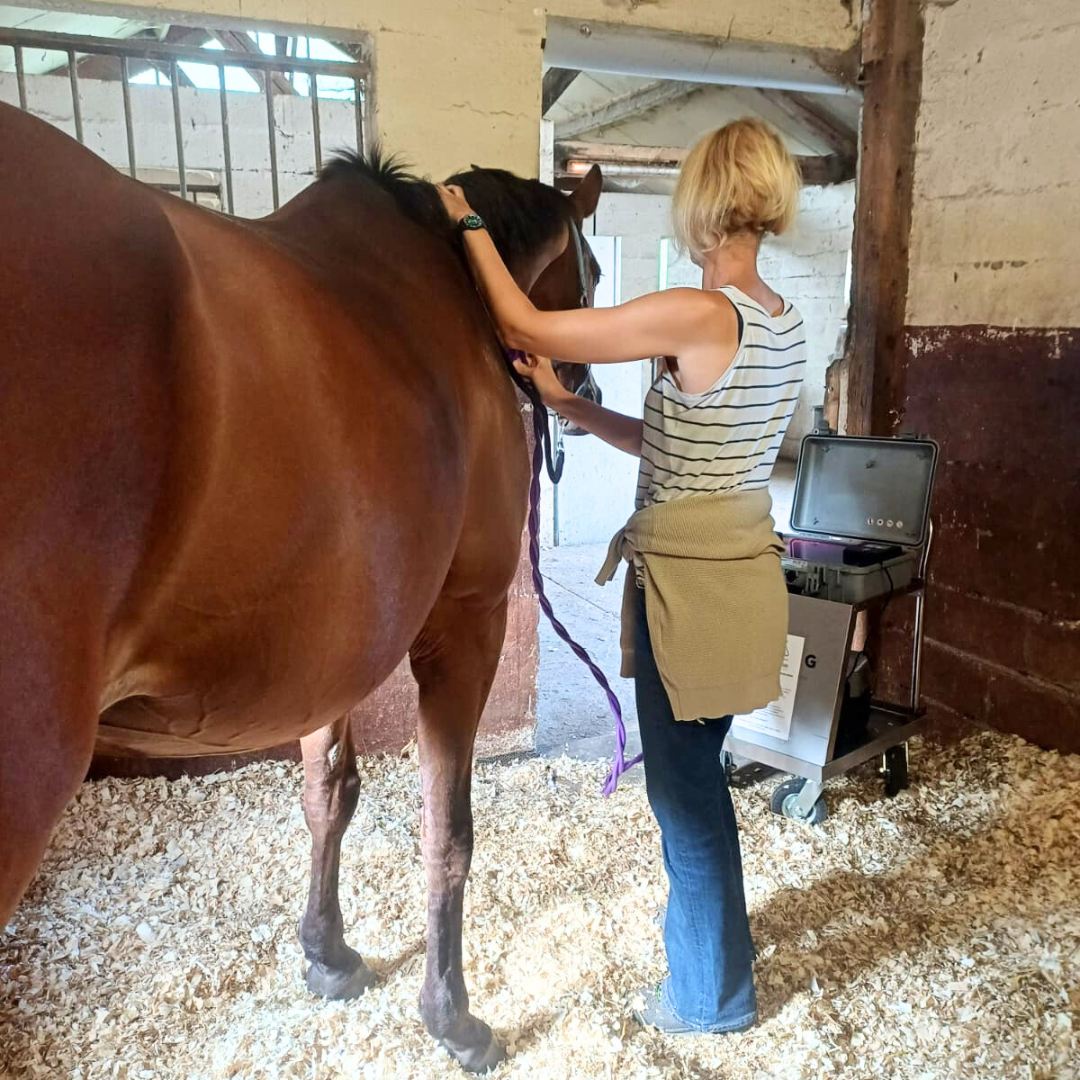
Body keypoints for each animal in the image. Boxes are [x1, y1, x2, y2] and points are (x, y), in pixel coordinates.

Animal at [0, 100, 602, 1072]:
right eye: (589, 270)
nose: (581, 388)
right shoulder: (464, 624)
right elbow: (448, 829)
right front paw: (453, 1017)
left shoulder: (331, 645)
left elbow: (330, 795)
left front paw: (326, 952)